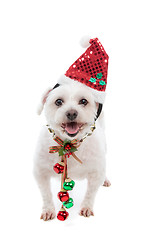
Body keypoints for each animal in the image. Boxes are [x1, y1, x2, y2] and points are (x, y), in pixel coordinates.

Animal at [33, 78, 110, 220]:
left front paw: (86, 207)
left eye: (84, 101)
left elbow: (90, 193)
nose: (71, 113)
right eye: (58, 101)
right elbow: (46, 194)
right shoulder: (40, 171)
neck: (69, 146)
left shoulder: (96, 171)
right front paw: (48, 209)